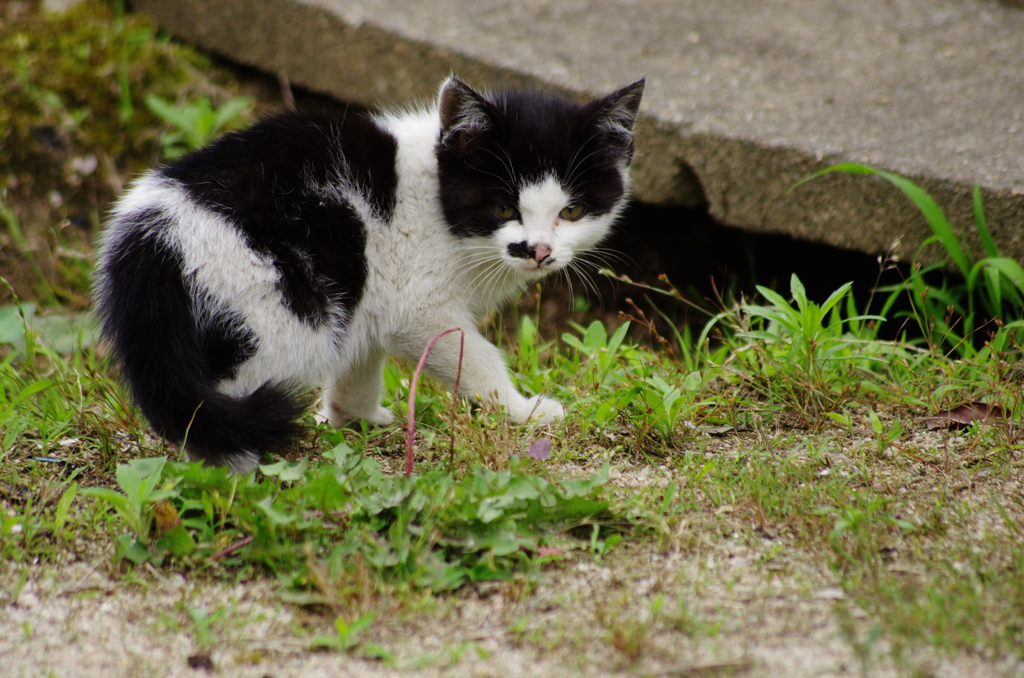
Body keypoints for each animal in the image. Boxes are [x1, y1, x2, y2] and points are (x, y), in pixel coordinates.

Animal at [92, 75, 643, 473]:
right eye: (504, 207)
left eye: (571, 212)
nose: (539, 250)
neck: (440, 202)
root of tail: (149, 227)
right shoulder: (418, 305)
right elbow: (474, 354)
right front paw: (522, 410)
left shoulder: (375, 294)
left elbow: (360, 359)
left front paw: (350, 418)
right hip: (280, 306)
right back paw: (236, 469)